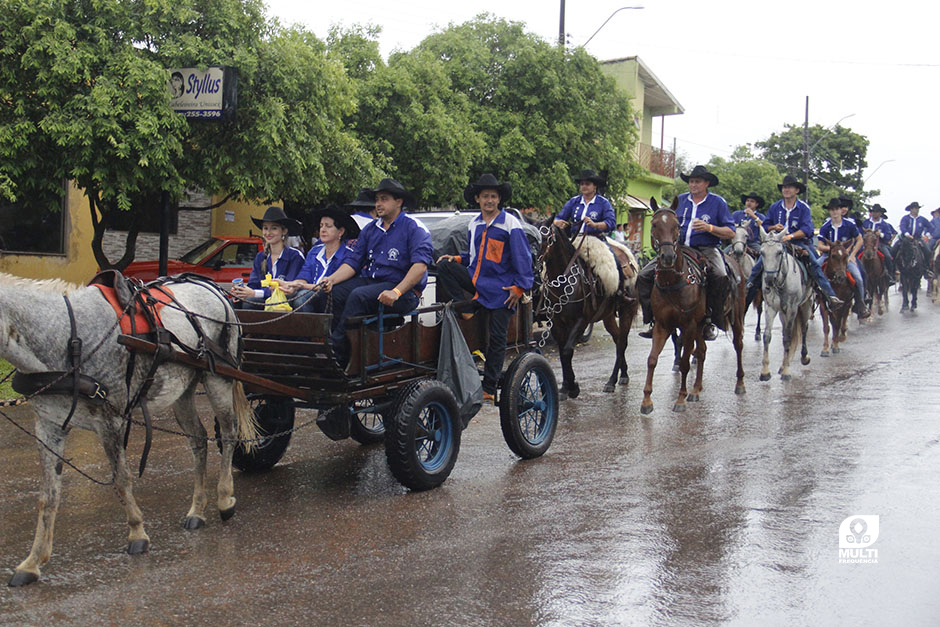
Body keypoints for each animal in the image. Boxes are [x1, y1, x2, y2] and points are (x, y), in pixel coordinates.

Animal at [0, 272, 258, 588]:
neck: (69, 338)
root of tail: (213, 288)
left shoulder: (110, 420)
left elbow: (121, 480)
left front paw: (137, 532)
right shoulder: (49, 426)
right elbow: (48, 497)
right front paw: (33, 561)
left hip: (217, 377)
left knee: (229, 433)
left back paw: (224, 499)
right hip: (182, 389)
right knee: (198, 441)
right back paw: (197, 510)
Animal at [536, 221, 640, 400]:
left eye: (544, 238)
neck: (564, 282)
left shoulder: (581, 321)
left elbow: (567, 351)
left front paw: (573, 388)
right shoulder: (557, 323)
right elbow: (562, 354)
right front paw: (565, 387)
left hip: (626, 311)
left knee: (622, 342)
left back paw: (611, 381)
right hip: (608, 316)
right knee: (618, 339)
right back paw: (624, 374)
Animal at [636, 201, 744, 414]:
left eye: (677, 225)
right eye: (654, 225)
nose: (667, 257)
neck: (672, 283)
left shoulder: (688, 326)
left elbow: (685, 363)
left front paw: (680, 399)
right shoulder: (663, 325)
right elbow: (652, 359)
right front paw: (646, 401)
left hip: (735, 318)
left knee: (738, 345)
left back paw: (740, 384)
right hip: (700, 327)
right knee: (702, 351)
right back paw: (696, 390)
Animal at [756, 229, 816, 380]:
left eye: (779, 252)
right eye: (762, 253)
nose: (769, 279)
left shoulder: (792, 308)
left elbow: (788, 337)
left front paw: (787, 372)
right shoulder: (770, 307)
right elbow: (767, 336)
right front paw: (765, 371)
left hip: (806, 305)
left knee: (804, 328)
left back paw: (804, 357)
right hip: (783, 313)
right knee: (785, 332)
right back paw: (783, 364)